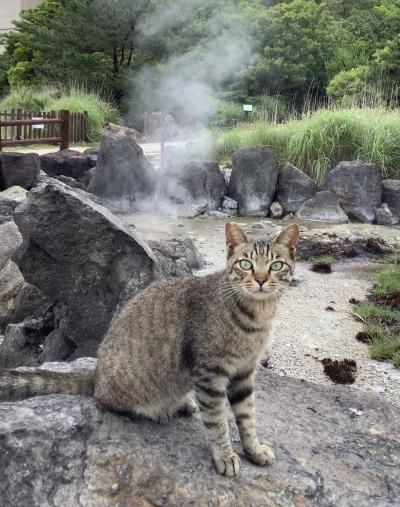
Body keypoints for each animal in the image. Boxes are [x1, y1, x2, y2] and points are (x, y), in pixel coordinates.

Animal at [0, 222, 298, 476]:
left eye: (276, 265)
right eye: (246, 264)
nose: (261, 279)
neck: (257, 316)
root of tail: (97, 373)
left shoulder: (245, 372)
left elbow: (247, 417)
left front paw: (253, 449)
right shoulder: (209, 373)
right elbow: (217, 421)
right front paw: (224, 455)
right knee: (108, 400)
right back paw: (158, 410)